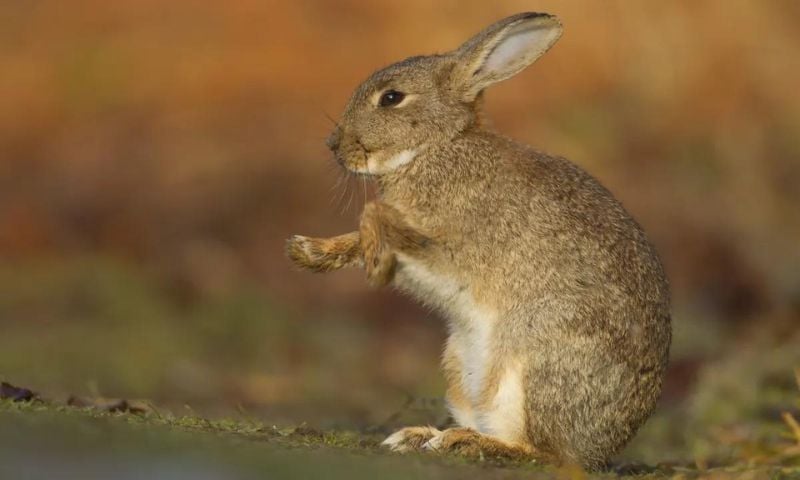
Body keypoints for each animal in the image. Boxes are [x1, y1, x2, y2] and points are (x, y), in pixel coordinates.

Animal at [286, 12, 671, 470]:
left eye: (392, 98)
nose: (334, 146)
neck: (435, 148)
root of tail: (602, 450)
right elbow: (359, 233)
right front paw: (309, 252)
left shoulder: (452, 244)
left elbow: (375, 216)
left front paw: (376, 266)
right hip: (459, 365)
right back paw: (422, 437)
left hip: (531, 365)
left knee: (545, 453)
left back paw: (463, 444)